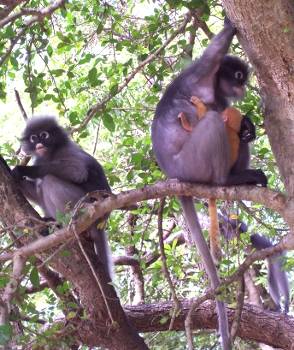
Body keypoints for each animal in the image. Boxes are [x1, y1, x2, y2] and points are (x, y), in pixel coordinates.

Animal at [11, 116, 112, 280]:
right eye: (33, 138)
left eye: (44, 135)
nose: (39, 143)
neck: (50, 154)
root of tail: (101, 221)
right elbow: (37, 194)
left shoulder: (67, 150)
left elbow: (77, 170)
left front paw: (23, 169)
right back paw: (50, 220)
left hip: (84, 203)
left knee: (50, 180)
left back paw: (65, 222)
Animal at [150, 17, 268, 348]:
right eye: (238, 76)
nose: (244, 86)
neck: (216, 86)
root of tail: (174, 176)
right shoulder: (200, 76)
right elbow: (213, 52)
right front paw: (229, 23)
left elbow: (231, 115)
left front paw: (249, 127)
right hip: (194, 163)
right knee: (217, 120)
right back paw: (226, 179)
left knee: (229, 118)